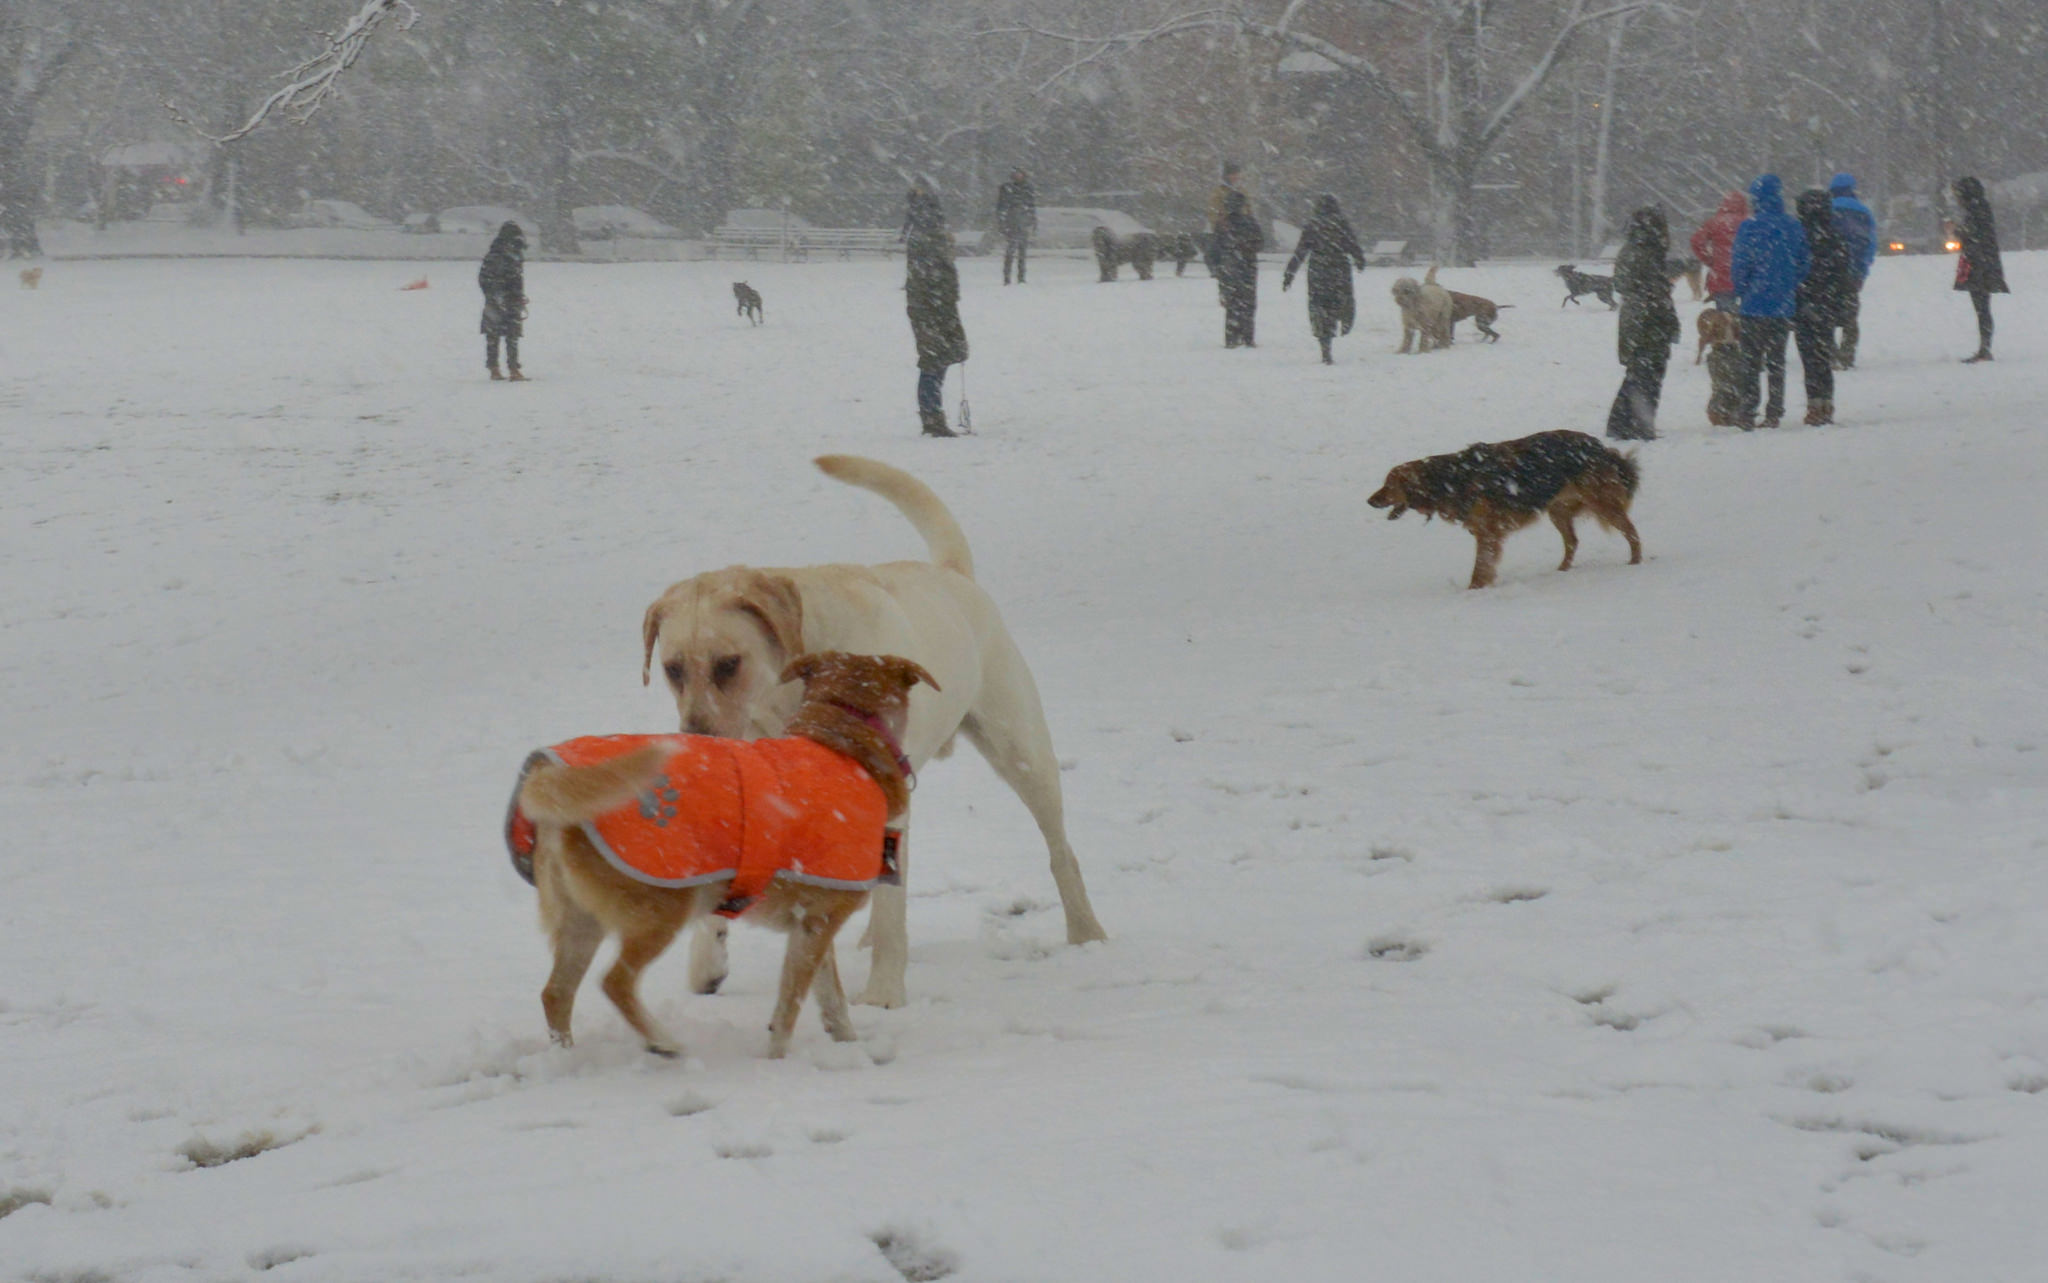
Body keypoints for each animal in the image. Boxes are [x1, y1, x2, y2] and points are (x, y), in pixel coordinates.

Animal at [647, 454, 1114, 1004]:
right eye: (673, 669)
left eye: (728, 664)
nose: (695, 741)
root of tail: (951, 573)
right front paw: (707, 960)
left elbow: (892, 914)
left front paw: (884, 996)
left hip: (1022, 752)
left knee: (1060, 851)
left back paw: (1086, 932)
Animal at [1368, 430, 1638, 590]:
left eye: (1389, 485)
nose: (1369, 501)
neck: (1448, 479)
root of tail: (1601, 447)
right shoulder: (1486, 533)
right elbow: (1484, 567)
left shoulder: (1487, 534)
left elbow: (1480, 568)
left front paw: (1474, 591)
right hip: (1558, 510)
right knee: (1572, 541)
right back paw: (1561, 571)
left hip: (1603, 504)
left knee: (1632, 533)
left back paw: (1635, 563)